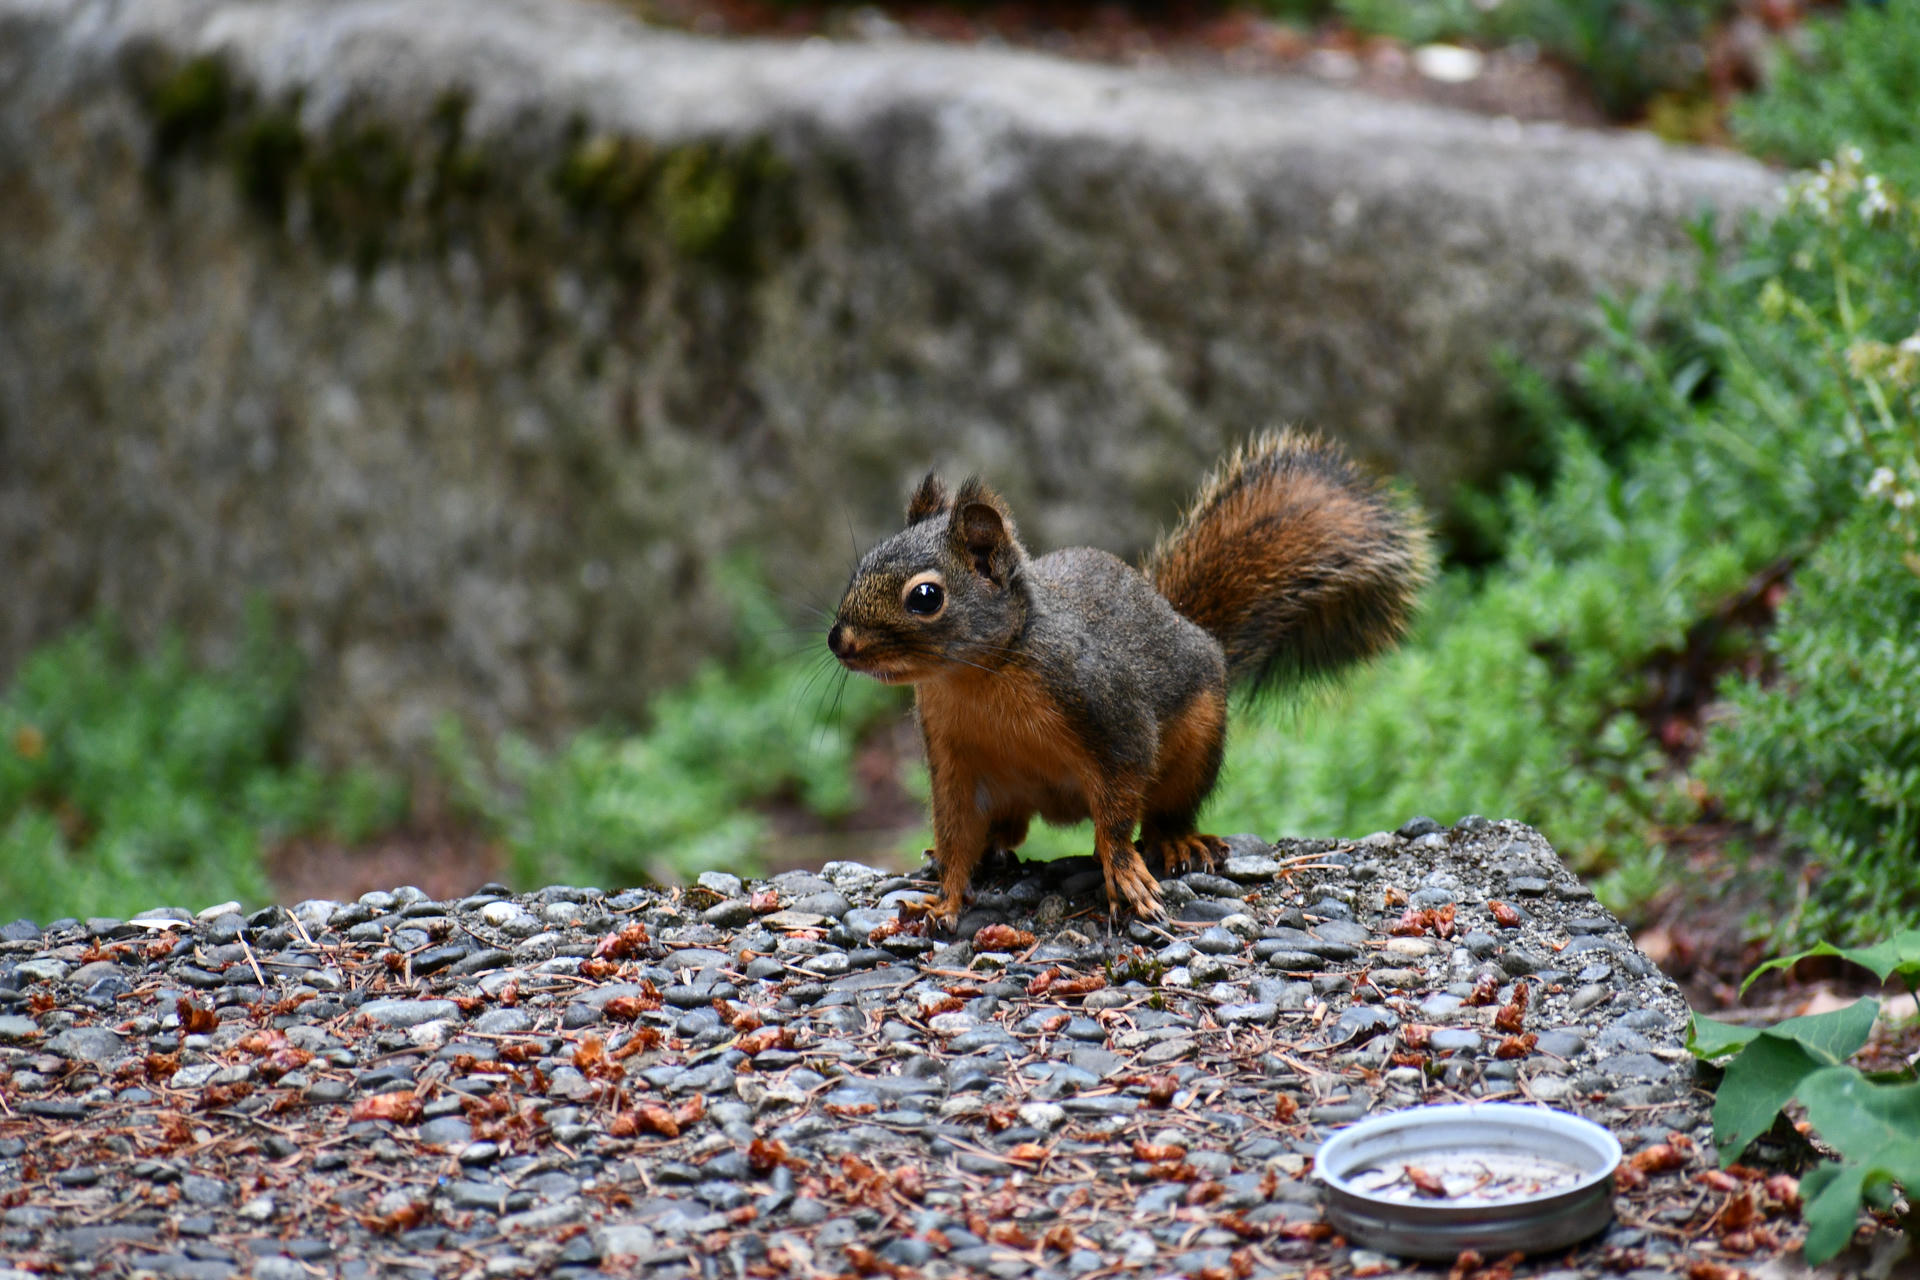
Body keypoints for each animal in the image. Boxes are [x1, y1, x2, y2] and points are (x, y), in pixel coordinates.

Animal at [827, 430, 1432, 928]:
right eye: (865, 562)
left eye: (926, 597)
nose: (840, 641)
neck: (981, 674)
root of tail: (1190, 626)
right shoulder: (952, 757)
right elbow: (955, 831)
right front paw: (947, 896)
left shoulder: (1110, 715)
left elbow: (1118, 808)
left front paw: (1122, 871)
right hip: (1008, 790)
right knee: (1009, 829)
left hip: (1196, 748)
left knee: (1164, 810)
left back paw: (1178, 842)